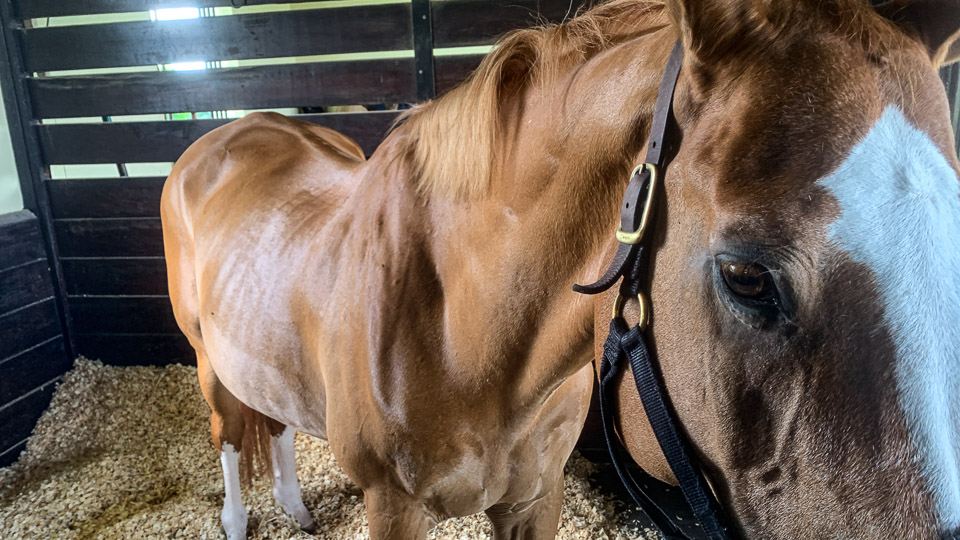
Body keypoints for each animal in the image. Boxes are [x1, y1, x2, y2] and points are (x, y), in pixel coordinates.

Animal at [161, 0, 956, 536]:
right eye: (746, 278)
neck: (459, 327)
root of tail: (230, 134)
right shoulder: (391, 507)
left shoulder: (533, 501)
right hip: (207, 362)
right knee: (230, 431)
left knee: (275, 420)